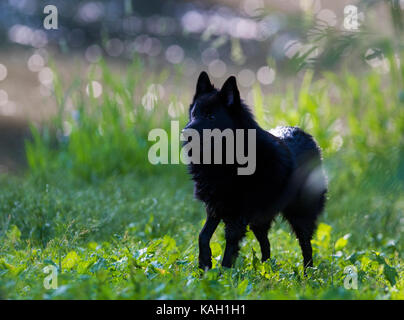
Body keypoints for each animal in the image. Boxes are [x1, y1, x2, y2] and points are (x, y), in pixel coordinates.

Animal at [181, 71, 326, 272]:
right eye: (194, 114)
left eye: (211, 117)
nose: (184, 132)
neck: (225, 159)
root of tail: (309, 137)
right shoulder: (215, 208)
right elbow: (202, 236)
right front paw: (205, 265)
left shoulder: (237, 217)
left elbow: (229, 248)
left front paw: (223, 276)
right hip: (260, 220)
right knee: (266, 245)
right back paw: (266, 271)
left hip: (299, 215)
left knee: (306, 246)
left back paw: (307, 274)